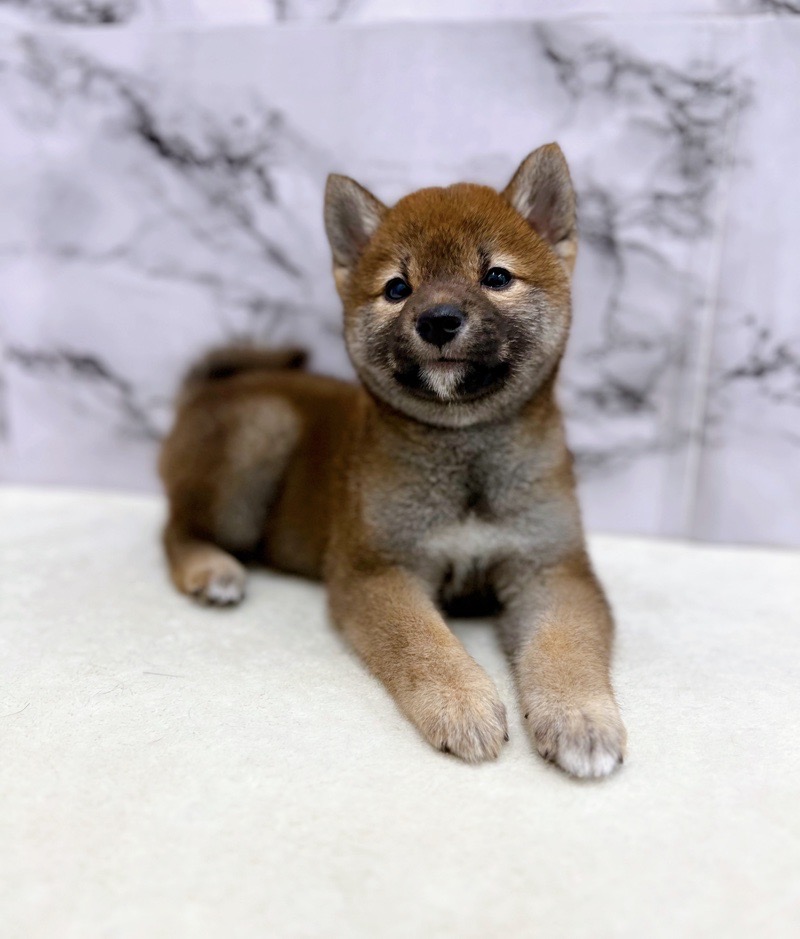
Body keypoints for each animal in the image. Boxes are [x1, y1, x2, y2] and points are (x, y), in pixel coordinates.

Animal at [159, 143, 628, 780]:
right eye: (398, 288)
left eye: (496, 276)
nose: (439, 319)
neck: (464, 451)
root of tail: (202, 392)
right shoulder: (377, 570)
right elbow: (421, 643)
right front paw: (461, 703)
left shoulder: (551, 568)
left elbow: (566, 646)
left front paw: (581, 717)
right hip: (260, 431)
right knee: (175, 528)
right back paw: (211, 569)